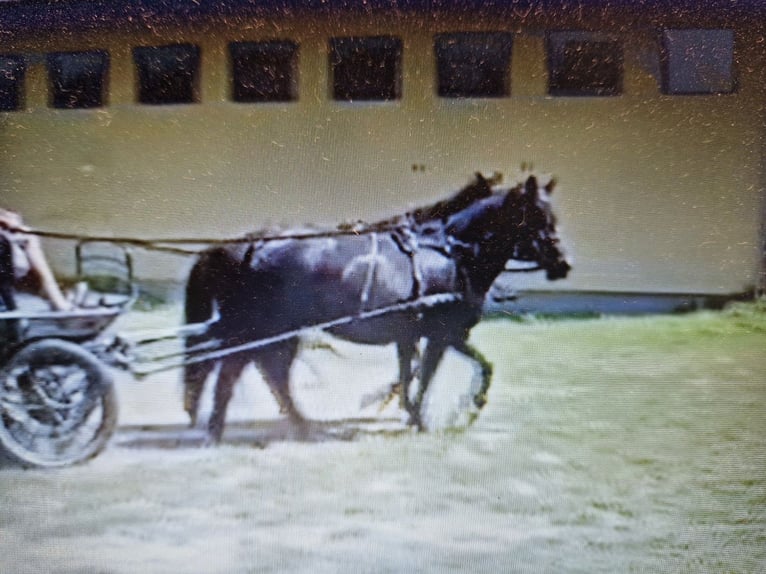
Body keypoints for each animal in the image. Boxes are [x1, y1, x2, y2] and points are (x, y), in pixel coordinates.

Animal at [184, 173, 568, 444]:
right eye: (538, 216)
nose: (565, 264)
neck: (451, 253)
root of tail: (251, 245)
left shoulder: (412, 335)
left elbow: (412, 373)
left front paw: (406, 410)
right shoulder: (444, 334)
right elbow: (450, 372)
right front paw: (451, 411)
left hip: (276, 332)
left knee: (269, 372)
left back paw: (293, 423)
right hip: (263, 329)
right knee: (237, 371)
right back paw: (220, 429)